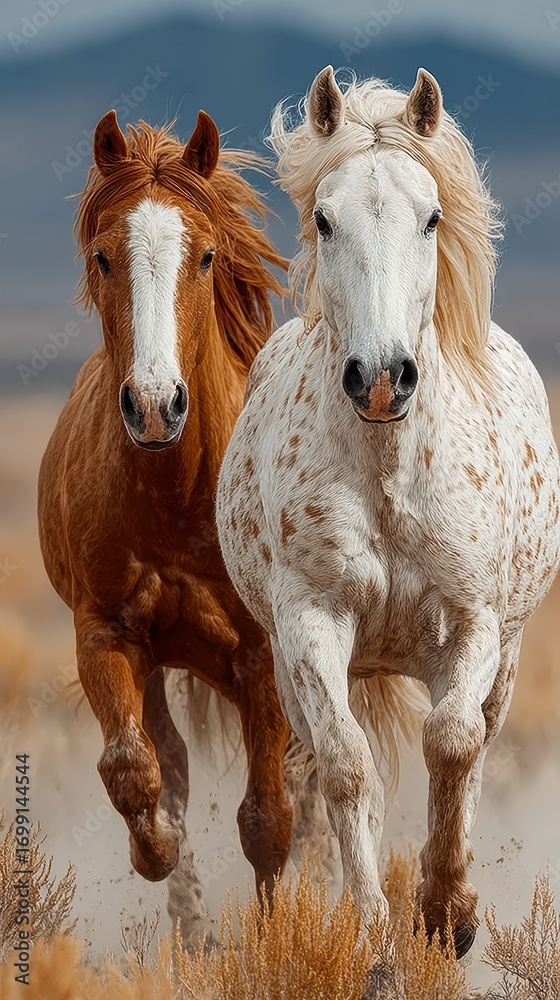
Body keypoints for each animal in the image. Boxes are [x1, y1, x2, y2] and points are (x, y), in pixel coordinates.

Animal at [38, 108, 297, 946]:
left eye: (206, 256)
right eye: (103, 256)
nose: (155, 407)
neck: (182, 496)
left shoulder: (263, 655)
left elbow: (269, 821)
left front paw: (279, 943)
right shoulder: (109, 633)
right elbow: (136, 770)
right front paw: (158, 854)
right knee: (172, 760)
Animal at [216, 66, 560, 959]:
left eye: (431, 215)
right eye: (323, 218)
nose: (380, 377)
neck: (390, 476)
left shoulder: (473, 623)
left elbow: (454, 743)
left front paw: (447, 910)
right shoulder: (311, 622)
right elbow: (345, 766)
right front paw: (370, 929)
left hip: (505, 655)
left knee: (478, 746)